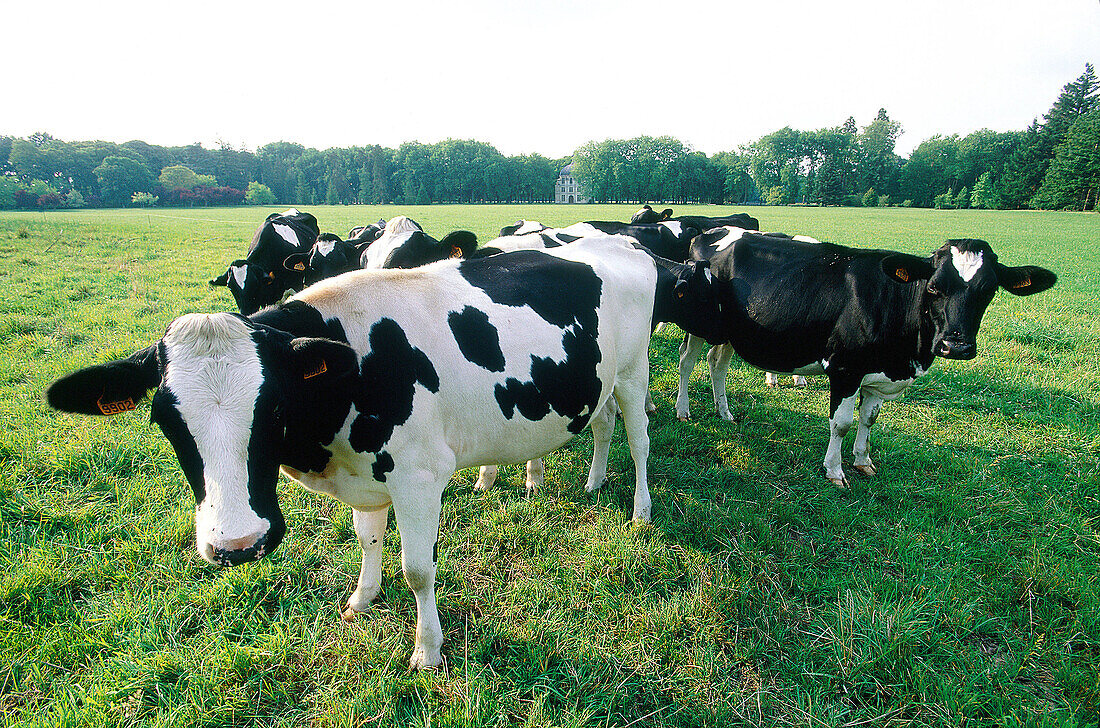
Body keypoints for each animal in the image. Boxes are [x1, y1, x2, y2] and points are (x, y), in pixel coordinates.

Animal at [45, 236, 660, 668]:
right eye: (165, 422)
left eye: (273, 405)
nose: (239, 544)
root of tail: (618, 242)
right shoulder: (369, 477)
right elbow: (367, 540)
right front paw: (362, 600)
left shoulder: (418, 477)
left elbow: (418, 570)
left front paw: (427, 651)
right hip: (600, 380)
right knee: (603, 423)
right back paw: (594, 482)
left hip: (635, 373)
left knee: (639, 437)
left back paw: (639, 510)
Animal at [673, 226, 1051, 490]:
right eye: (934, 287)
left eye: (988, 290)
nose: (955, 346)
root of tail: (710, 233)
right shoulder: (846, 368)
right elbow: (841, 423)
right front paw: (834, 470)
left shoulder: (876, 375)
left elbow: (869, 420)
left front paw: (863, 460)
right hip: (697, 323)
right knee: (687, 362)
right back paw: (683, 410)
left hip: (731, 333)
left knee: (717, 363)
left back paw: (724, 412)